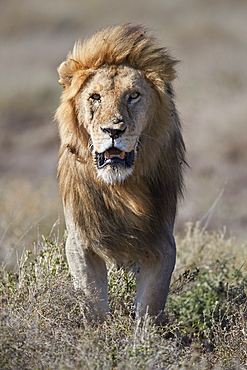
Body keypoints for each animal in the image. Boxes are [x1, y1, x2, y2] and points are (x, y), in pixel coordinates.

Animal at [55, 23, 184, 324]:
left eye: (133, 95)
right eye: (95, 97)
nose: (113, 130)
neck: (120, 190)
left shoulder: (161, 244)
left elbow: (149, 309)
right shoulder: (80, 243)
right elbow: (93, 304)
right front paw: (100, 336)